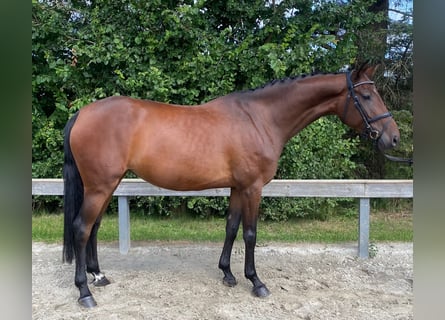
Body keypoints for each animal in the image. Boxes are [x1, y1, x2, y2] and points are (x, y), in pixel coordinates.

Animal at [61, 63, 398, 308]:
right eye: (366, 97)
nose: (393, 137)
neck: (260, 118)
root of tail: (82, 113)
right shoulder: (253, 188)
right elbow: (250, 234)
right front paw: (257, 282)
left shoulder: (238, 188)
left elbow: (232, 227)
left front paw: (227, 274)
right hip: (100, 186)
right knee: (81, 228)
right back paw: (85, 293)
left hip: (108, 185)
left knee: (94, 227)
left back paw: (98, 275)